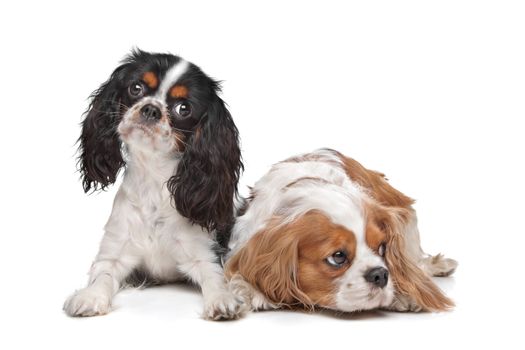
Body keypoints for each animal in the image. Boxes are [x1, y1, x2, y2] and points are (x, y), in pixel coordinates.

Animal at [64, 49, 245, 320]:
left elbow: (214, 278)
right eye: (136, 88)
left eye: (183, 108)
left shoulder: (205, 254)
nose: (151, 109)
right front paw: (91, 296)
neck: (153, 179)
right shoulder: (114, 253)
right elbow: (103, 275)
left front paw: (222, 300)